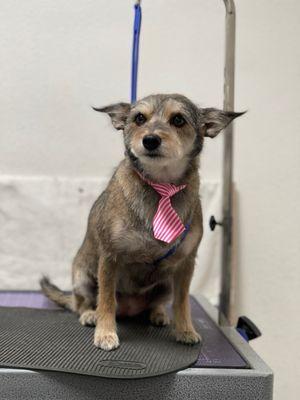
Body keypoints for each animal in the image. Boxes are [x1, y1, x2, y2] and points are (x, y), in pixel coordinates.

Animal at [39, 94, 243, 350]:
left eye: (178, 119)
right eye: (139, 118)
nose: (150, 140)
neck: (161, 184)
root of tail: (129, 310)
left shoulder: (186, 263)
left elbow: (182, 302)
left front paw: (185, 329)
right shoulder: (110, 257)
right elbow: (106, 299)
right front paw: (105, 333)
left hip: (166, 284)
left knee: (156, 304)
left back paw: (159, 314)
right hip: (83, 277)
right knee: (84, 303)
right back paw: (90, 314)